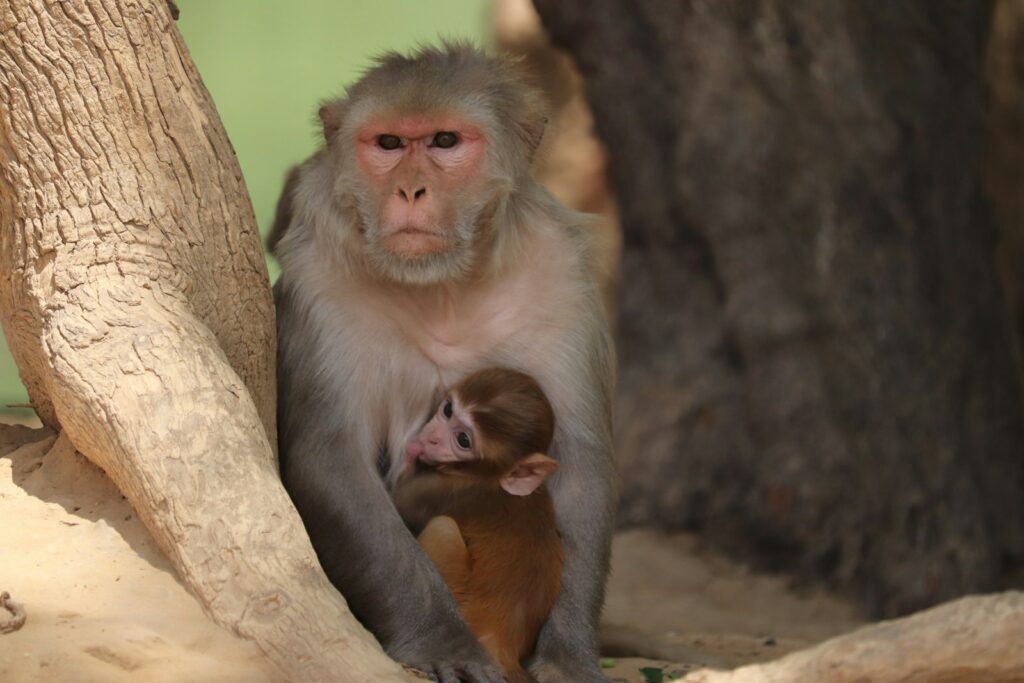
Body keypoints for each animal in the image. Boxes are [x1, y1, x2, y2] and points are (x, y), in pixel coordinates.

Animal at [394, 368, 563, 683]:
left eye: (463, 440)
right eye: (448, 410)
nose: (432, 438)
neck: (491, 478)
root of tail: (499, 641)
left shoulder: (445, 490)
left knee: (444, 528)